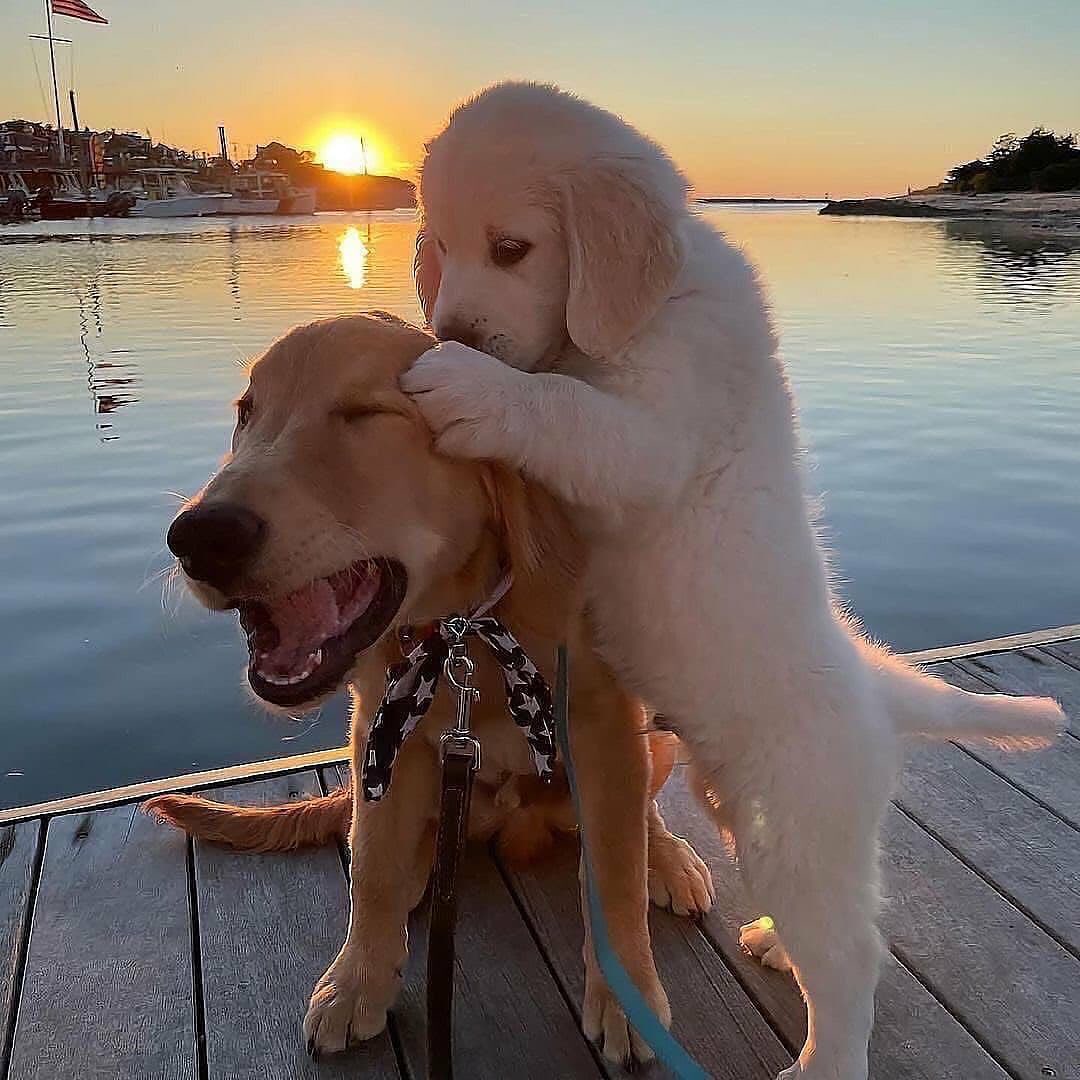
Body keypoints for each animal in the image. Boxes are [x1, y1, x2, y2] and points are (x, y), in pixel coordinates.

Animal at [148, 312, 712, 1065]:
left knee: (637, 820)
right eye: (247, 413)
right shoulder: (379, 726)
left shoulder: (604, 722)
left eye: (364, 412)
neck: (467, 627)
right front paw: (358, 982)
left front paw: (627, 1000)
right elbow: (374, 873)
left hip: (653, 742)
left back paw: (669, 860)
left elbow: (616, 872)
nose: (200, 536)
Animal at [400, 82, 1067, 1079]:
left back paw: (823, 1058)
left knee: (854, 960)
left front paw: (466, 383)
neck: (651, 304)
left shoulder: (652, 435)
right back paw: (777, 945)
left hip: (793, 824)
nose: (451, 332)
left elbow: (562, 410)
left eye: (510, 248)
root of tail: (873, 688)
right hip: (743, 805)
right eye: (439, 240)